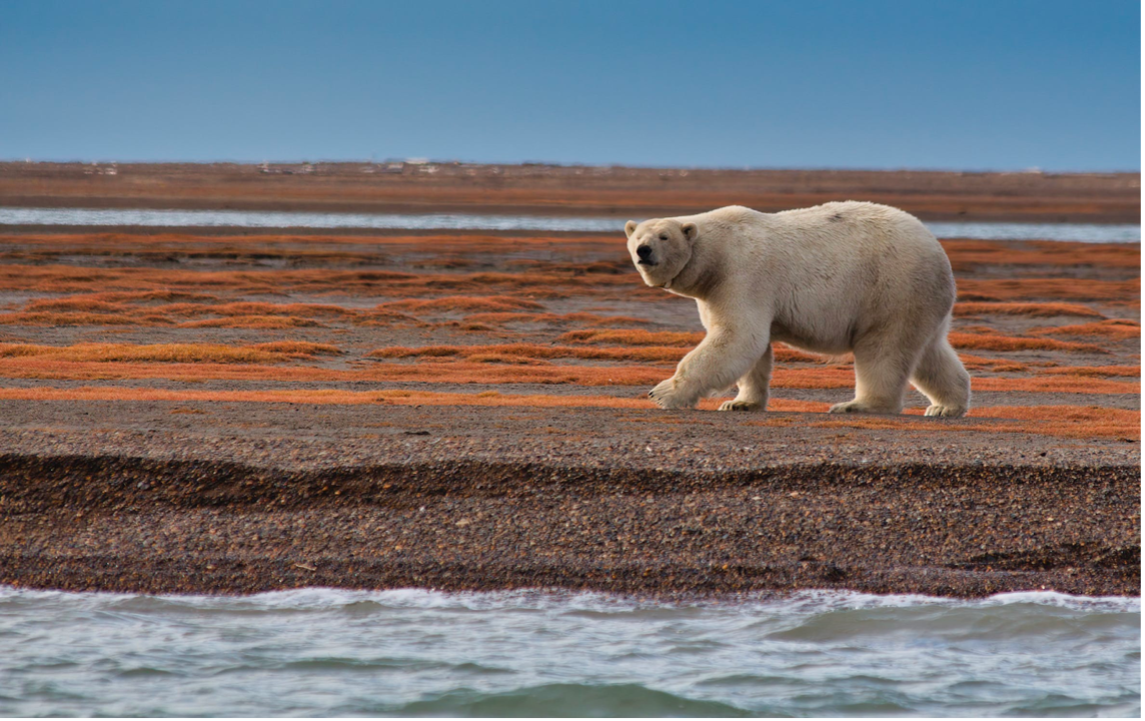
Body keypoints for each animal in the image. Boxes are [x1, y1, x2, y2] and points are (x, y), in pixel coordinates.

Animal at [632, 202, 970, 418]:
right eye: (636, 235)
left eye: (664, 236)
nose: (642, 251)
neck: (715, 254)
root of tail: (938, 250)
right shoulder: (717, 290)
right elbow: (753, 349)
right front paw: (740, 403)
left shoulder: (742, 274)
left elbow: (738, 336)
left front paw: (662, 393)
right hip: (921, 300)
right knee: (930, 352)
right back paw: (946, 406)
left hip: (891, 288)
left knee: (883, 349)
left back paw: (857, 405)